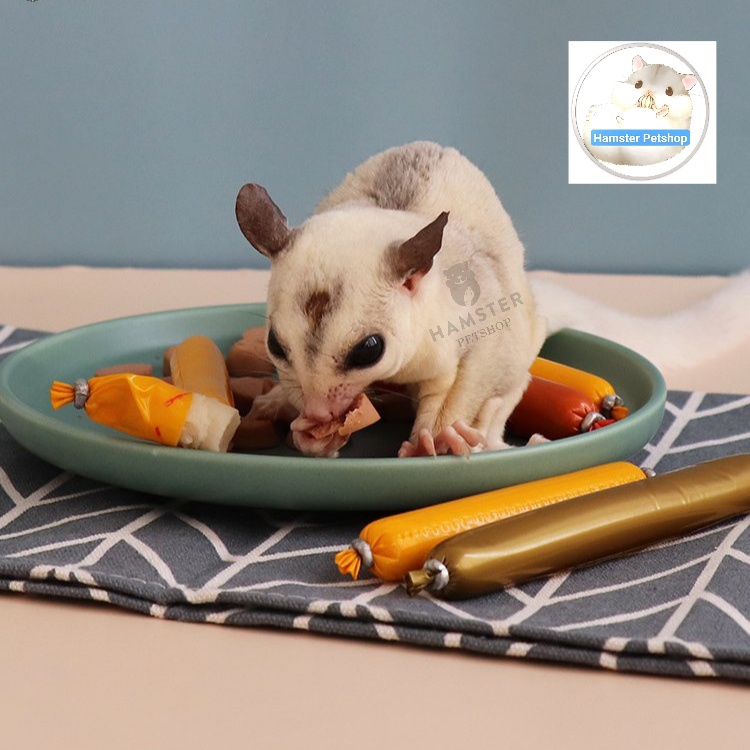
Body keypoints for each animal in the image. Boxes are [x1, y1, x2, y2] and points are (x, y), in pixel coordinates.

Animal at [235, 141, 547, 457]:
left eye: (369, 349)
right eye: (274, 344)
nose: (318, 413)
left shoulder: (461, 331)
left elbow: (464, 382)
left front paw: (437, 439)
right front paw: (313, 436)